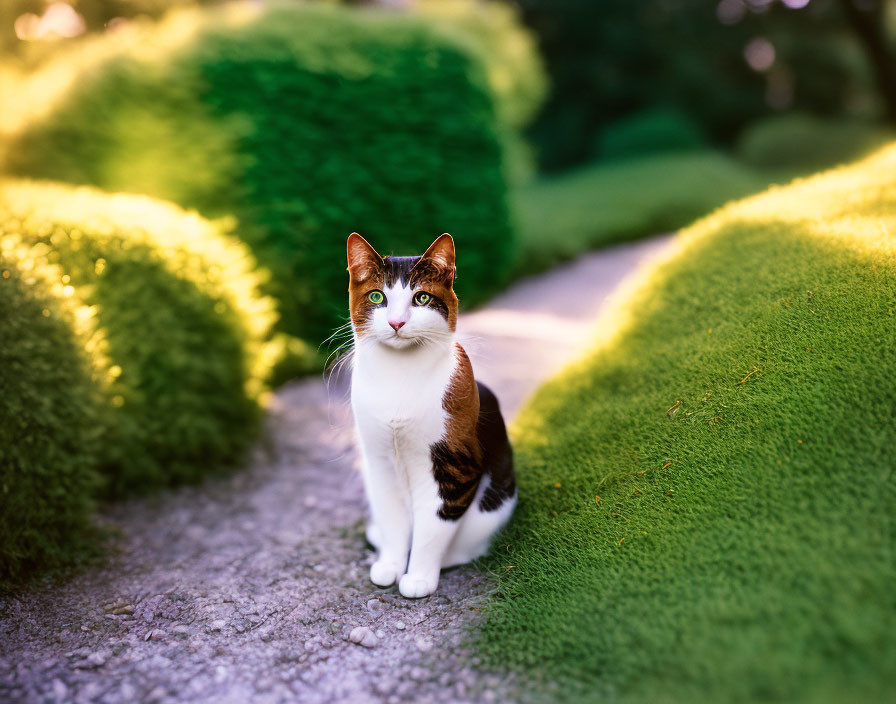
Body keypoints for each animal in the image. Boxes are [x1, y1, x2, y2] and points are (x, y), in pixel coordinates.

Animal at [348, 234, 520, 596]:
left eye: (422, 298)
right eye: (377, 296)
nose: (396, 322)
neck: (398, 375)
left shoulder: (454, 467)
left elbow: (432, 528)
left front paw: (419, 578)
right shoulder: (379, 463)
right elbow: (393, 519)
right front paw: (390, 565)